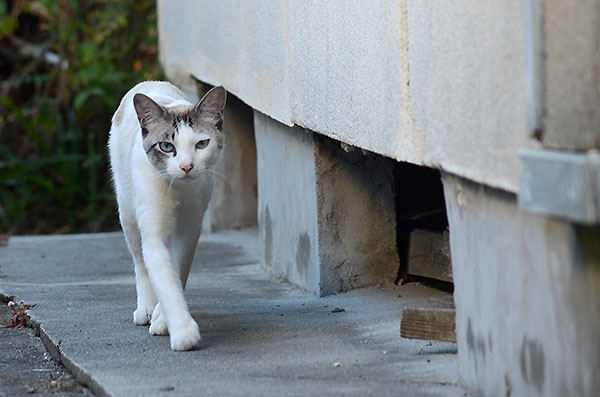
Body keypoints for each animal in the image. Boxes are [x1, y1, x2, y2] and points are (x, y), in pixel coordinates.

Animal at [107, 81, 225, 350]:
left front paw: (163, 321)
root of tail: (149, 83)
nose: (186, 166)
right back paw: (146, 310)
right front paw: (183, 333)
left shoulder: (191, 231)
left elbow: (177, 273)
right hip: (128, 215)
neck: (180, 190)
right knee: (140, 263)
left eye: (201, 144)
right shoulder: (155, 234)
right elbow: (165, 280)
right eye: (167, 147)